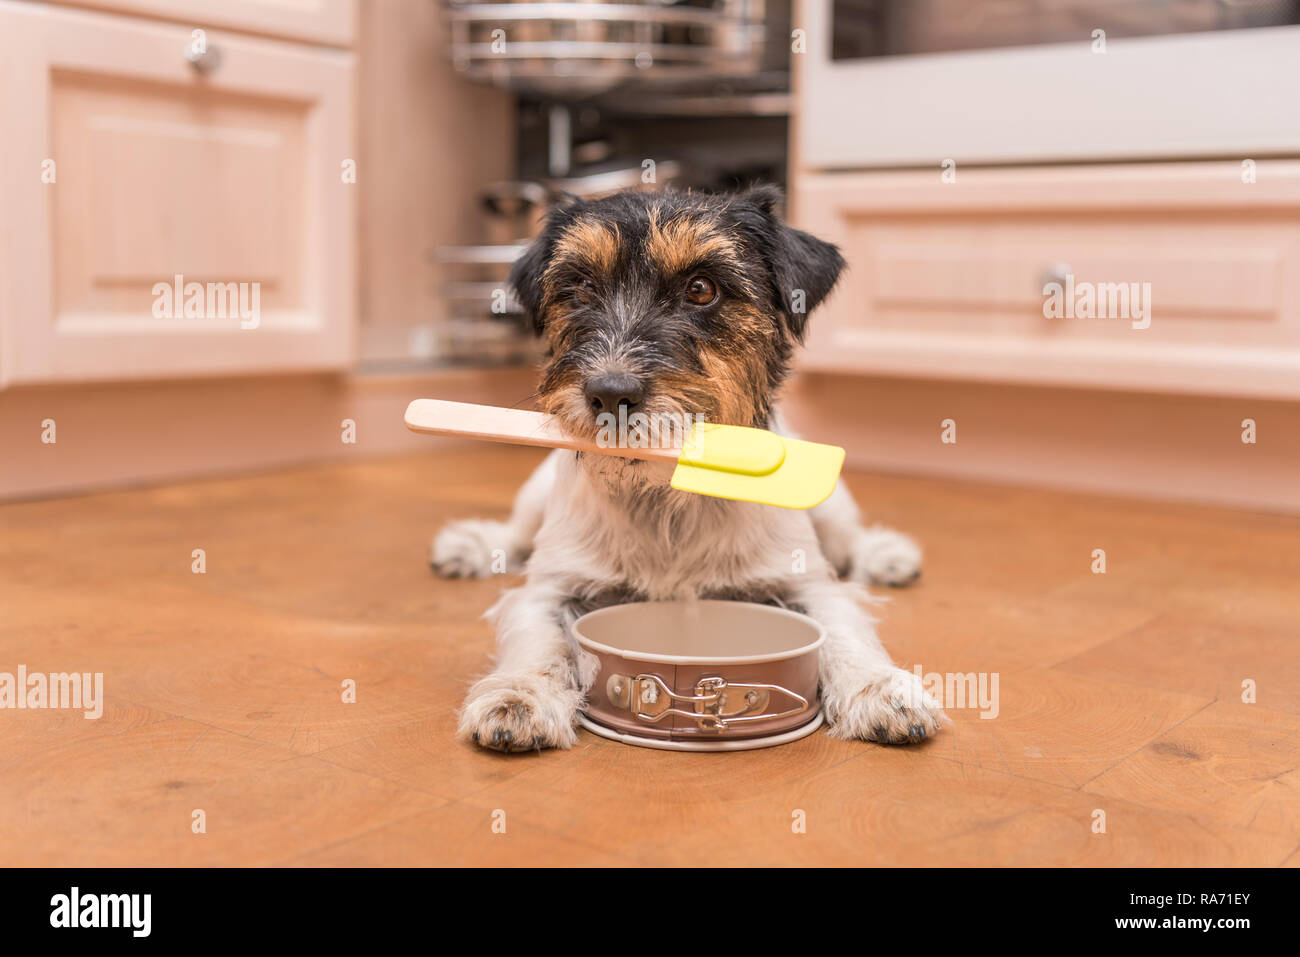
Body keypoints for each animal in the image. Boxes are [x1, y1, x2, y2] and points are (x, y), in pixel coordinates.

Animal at [431, 187, 951, 748]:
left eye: (702, 289)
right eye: (583, 287)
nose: (610, 393)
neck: (666, 498)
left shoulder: (806, 583)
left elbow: (842, 627)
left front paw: (880, 688)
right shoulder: (550, 587)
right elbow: (539, 639)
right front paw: (520, 695)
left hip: (830, 506)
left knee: (849, 539)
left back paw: (887, 555)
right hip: (535, 494)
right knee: (515, 534)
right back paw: (472, 545)